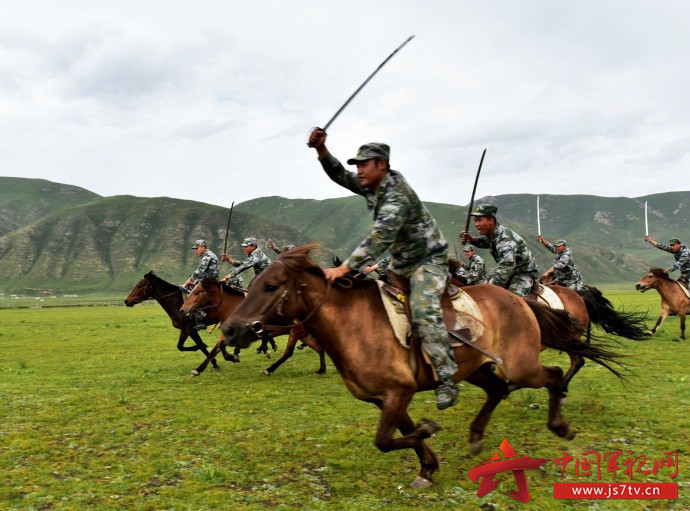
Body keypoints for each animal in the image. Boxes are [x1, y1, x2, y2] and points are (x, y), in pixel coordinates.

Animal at [180, 278, 326, 378]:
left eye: (197, 293)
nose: (183, 310)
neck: (233, 307)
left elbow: (222, 347)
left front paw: (233, 357)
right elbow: (214, 350)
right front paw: (199, 369)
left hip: (295, 332)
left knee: (288, 353)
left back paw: (269, 369)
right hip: (304, 334)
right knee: (319, 349)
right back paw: (322, 369)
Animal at [222, 246, 624, 490]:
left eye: (270, 286)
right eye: (252, 283)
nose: (230, 330)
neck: (354, 324)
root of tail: (521, 300)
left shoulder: (398, 391)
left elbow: (385, 440)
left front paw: (430, 433)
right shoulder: (385, 398)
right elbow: (400, 434)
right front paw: (428, 466)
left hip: (521, 365)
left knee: (553, 375)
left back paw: (560, 425)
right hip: (476, 369)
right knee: (498, 389)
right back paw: (476, 436)